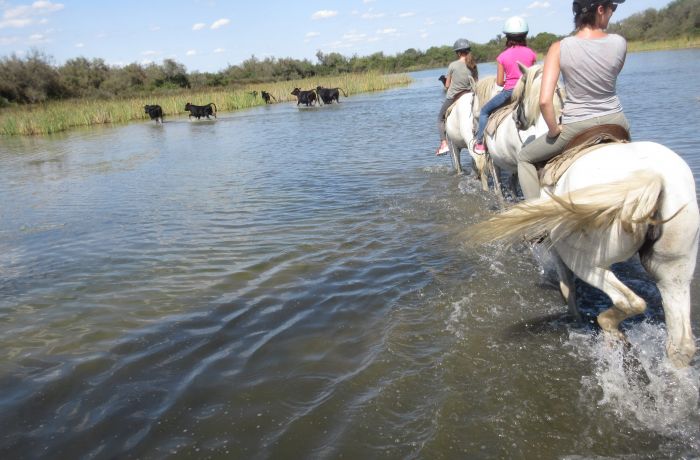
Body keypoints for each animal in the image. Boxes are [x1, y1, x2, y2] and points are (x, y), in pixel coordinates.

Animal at [470, 64, 700, 368]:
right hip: (675, 267)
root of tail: (650, 178)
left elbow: (568, 289)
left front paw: (575, 320)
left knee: (630, 303)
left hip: (584, 258)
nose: (518, 120)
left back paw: (610, 328)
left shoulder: (556, 250)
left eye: (518, 95)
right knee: (680, 344)